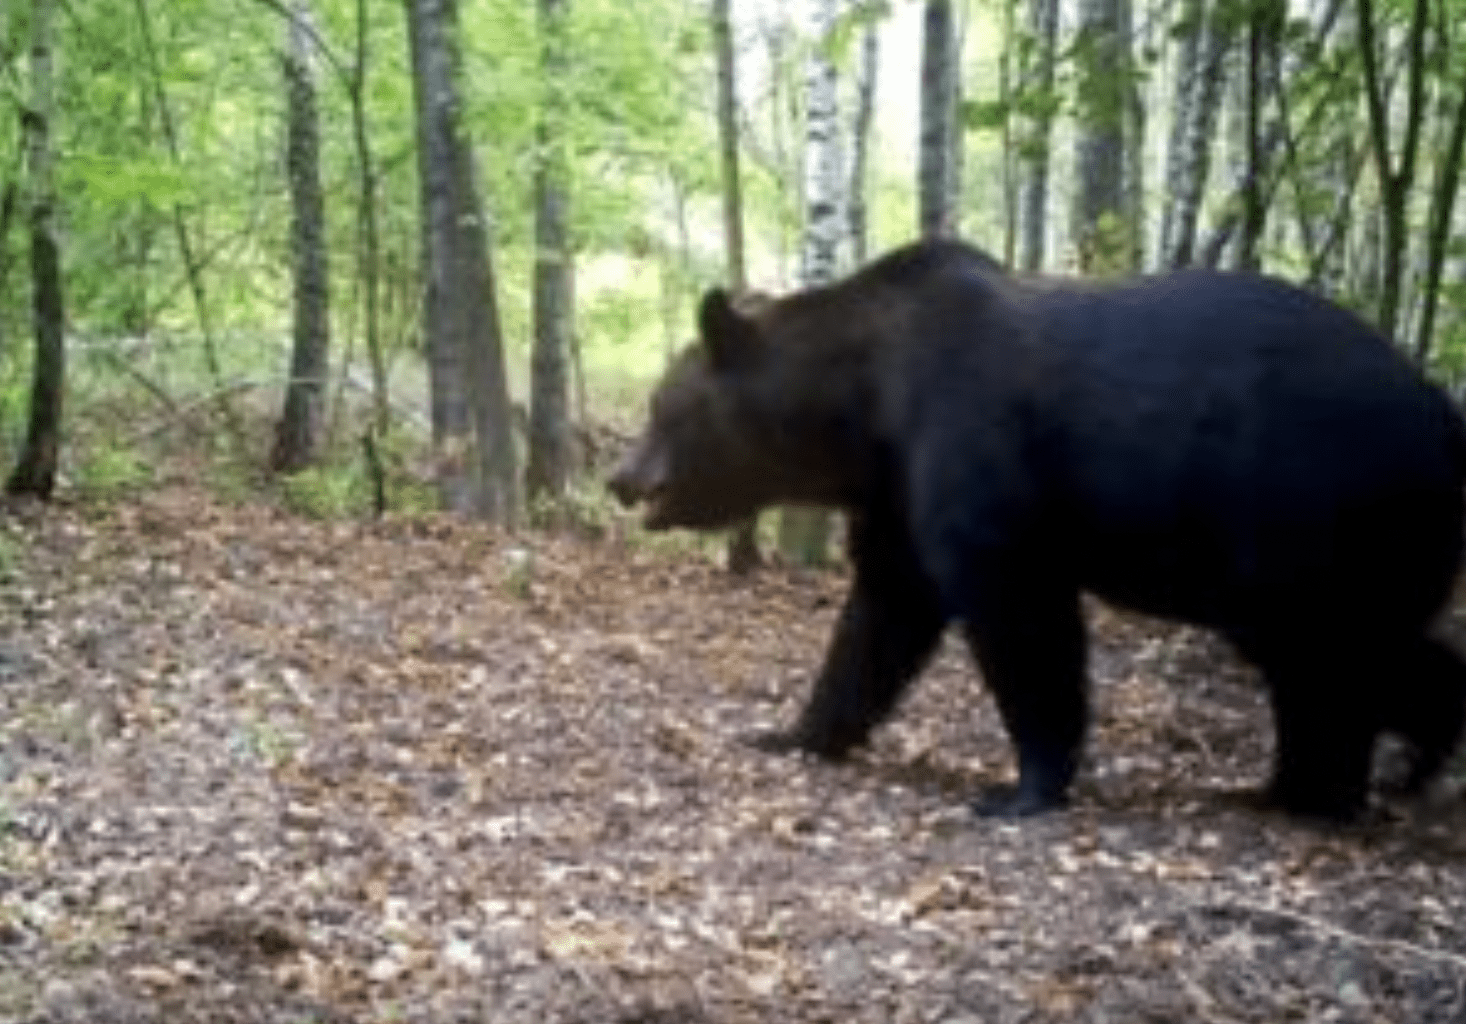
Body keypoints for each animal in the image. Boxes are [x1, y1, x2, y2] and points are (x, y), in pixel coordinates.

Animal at [606, 234, 1466, 815]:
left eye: (658, 405)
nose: (619, 478)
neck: (866, 404)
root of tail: (1445, 413)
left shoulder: (973, 442)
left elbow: (1018, 616)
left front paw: (1022, 786)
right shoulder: (896, 491)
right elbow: (880, 618)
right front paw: (792, 732)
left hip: (1311, 510)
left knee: (1330, 652)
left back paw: (1329, 788)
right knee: (1335, 656)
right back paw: (1336, 775)